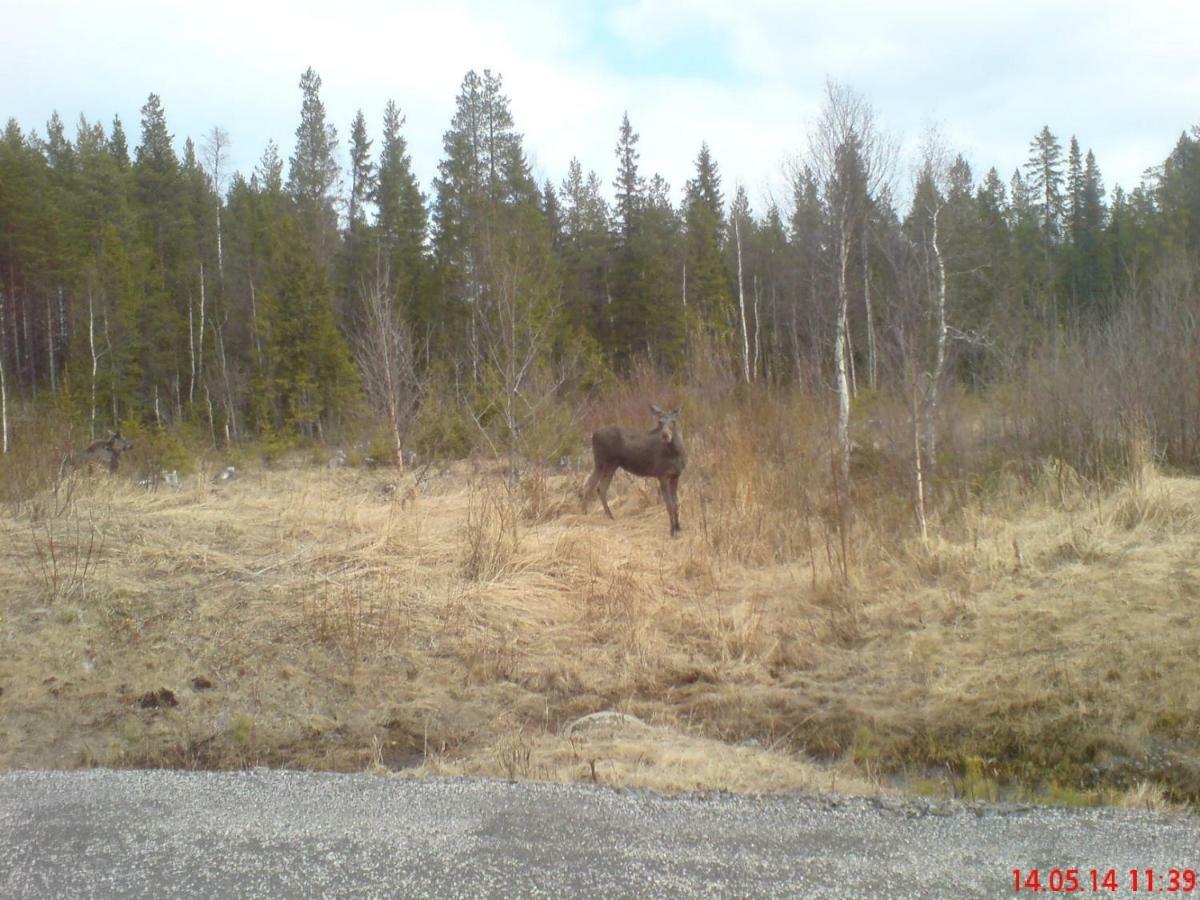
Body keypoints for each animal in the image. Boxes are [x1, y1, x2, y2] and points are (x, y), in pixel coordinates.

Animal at [580, 405, 686, 540]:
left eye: (673, 421)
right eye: (660, 422)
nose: (665, 435)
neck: (676, 453)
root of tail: (593, 434)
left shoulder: (676, 476)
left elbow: (676, 503)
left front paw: (678, 528)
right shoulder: (661, 475)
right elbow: (669, 504)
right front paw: (672, 531)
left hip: (612, 464)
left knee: (601, 487)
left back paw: (610, 516)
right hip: (601, 461)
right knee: (590, 485)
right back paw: (584, 514)